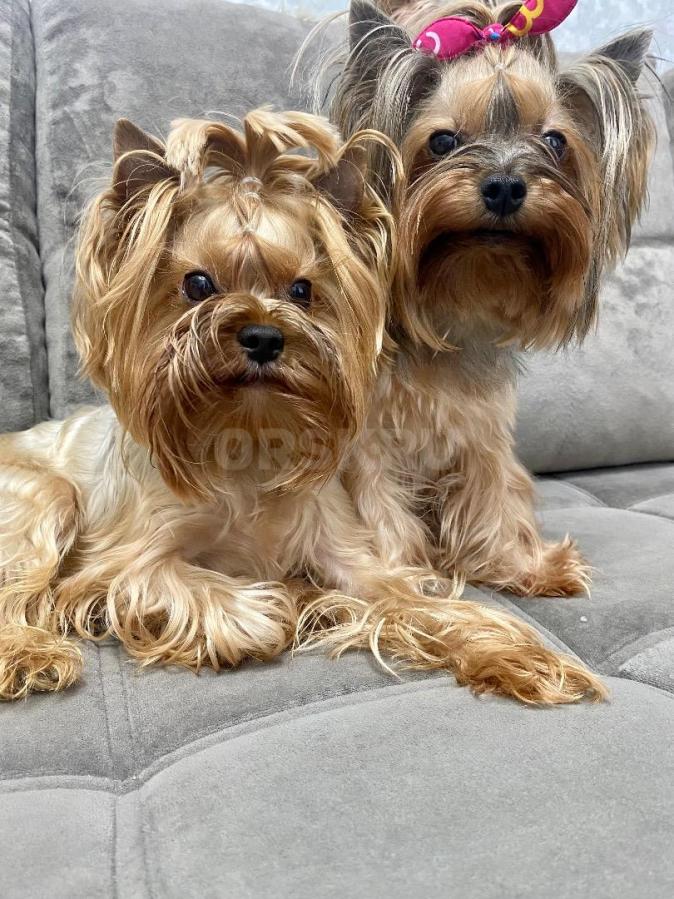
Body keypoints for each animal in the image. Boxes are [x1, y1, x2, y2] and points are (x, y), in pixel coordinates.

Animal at [0, 107, 604, 705]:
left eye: (302, 290)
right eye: (197, 284)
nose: (263, 336)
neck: (248, 432)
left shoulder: (351, 556)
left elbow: (420, 603)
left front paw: (516, 655)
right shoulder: (118, 565)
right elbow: (172, 583)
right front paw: (275, 606)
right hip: (44, 496)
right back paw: (28, 653)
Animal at [321, 0, 654, 596]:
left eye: (554, 142)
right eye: (443, 142)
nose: (504, 186)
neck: (452, 302)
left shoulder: (481, 432)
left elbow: (494, 491)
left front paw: (525, 566)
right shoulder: (368, 443)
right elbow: (375, 505)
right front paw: (402, 576)